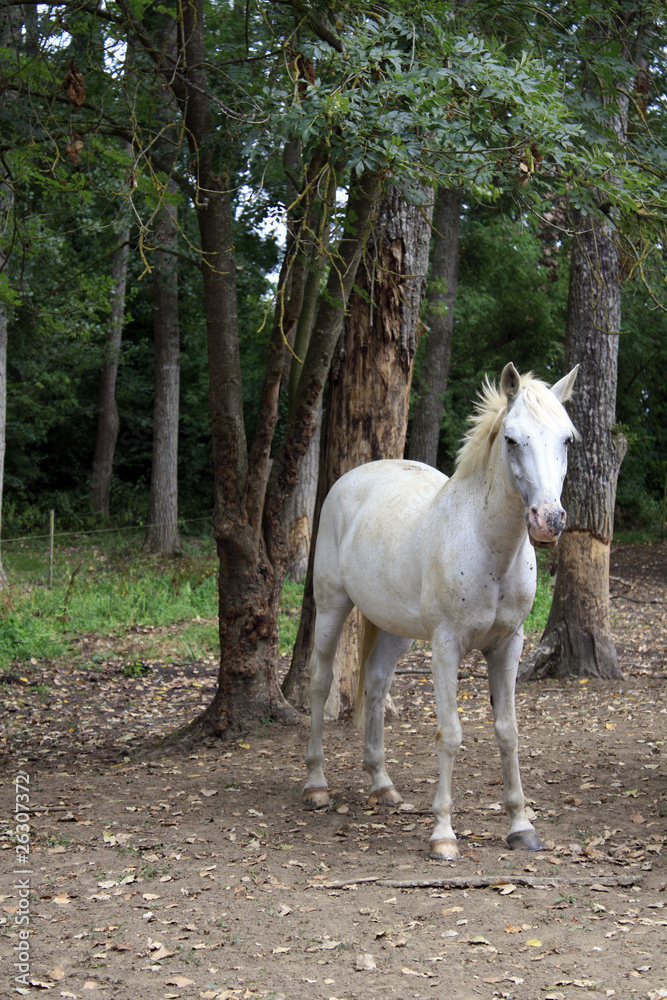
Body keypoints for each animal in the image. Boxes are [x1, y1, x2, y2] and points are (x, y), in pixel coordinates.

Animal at [302, 362, 579, 860]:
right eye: (512, 439)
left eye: (567, 439)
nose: (548, 520)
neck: (489, 549)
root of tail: (353, 478)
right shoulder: (446, 646)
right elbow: (449, 735)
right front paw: (443, 835)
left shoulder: (508, 646)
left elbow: (507, 732)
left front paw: (521, 826)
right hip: (332, 606)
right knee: (320, 681)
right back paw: (316, 785)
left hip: (396, 629)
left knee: (376, 683)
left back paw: (382, 786)